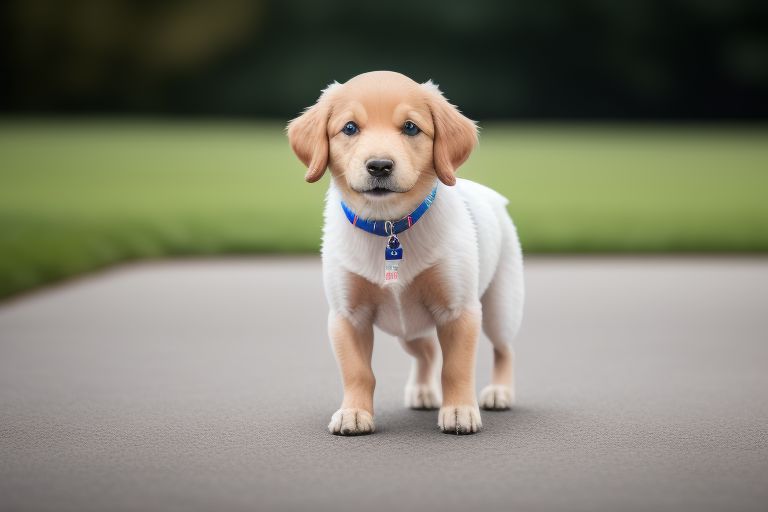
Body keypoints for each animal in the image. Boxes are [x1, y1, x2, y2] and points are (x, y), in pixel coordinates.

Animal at [284, 71, 524, 436]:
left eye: (411, 128)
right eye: (350, 128)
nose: (379, 166)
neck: (388, 227)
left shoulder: (459, 311)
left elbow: (456, 367)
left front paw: (459, 410)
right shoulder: (346, 316)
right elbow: (357, 371)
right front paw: (354, 412)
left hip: (500, 306)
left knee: (504, 348)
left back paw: (500, 391)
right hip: (409, 329)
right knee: (426, 351)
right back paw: (422, 391)